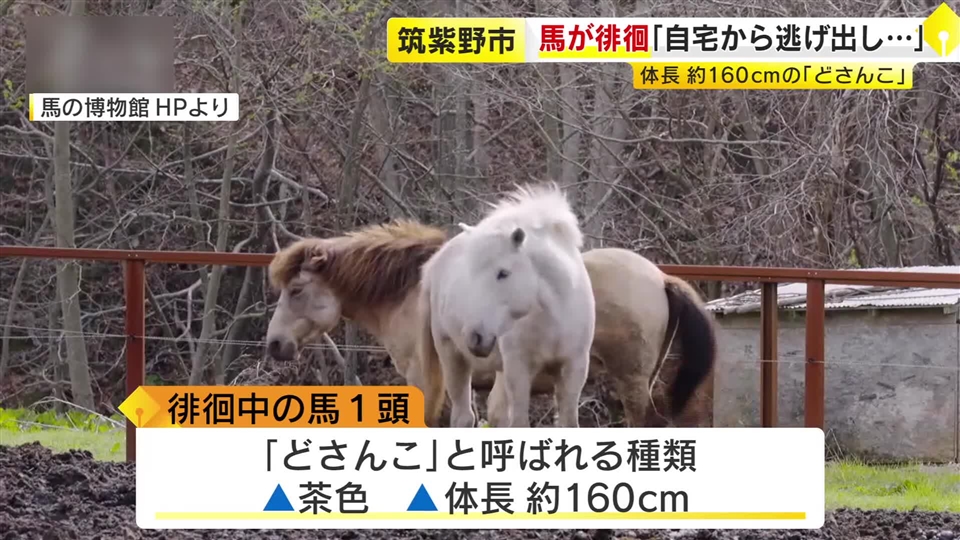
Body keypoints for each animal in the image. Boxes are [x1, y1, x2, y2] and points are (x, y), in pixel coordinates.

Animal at [264, 212, 716, 430]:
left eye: (296, 290)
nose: (274, 344)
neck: (415, 288)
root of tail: (661, 277)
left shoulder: (426, 377)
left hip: (630, 379)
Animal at [415, 183, 597, 428]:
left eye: (503, 273)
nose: (474, 337)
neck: (554, 316)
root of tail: (436, 262)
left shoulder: (574, 368)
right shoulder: (518, 370)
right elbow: (520, 422)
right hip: (451, 354)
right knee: (464, 416)